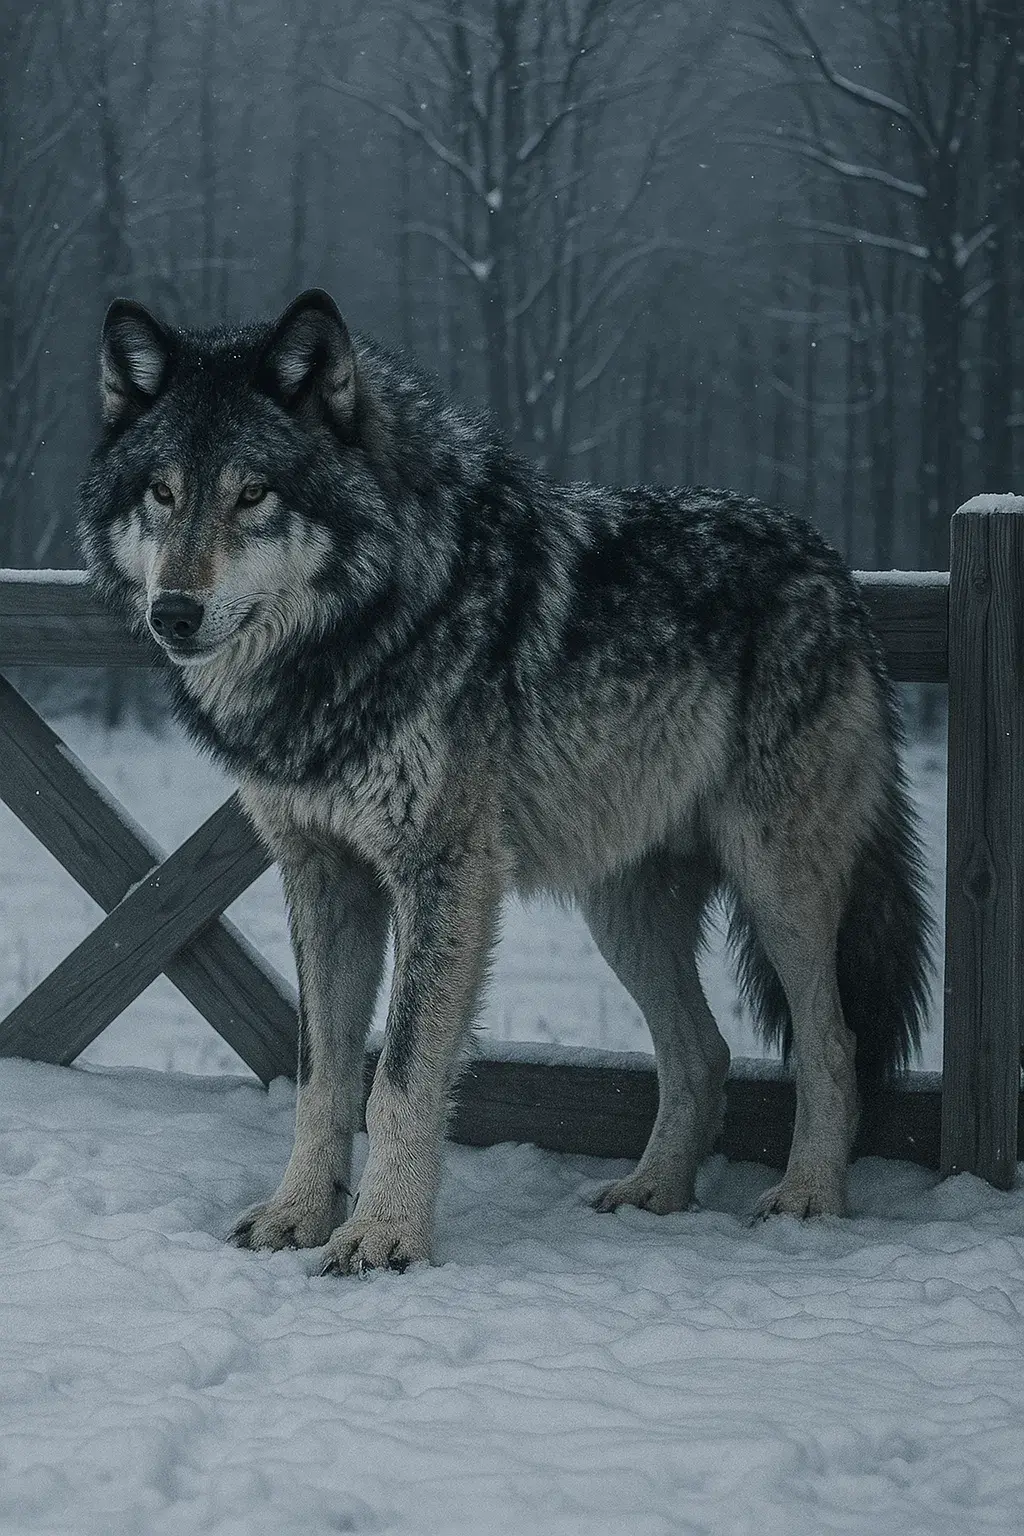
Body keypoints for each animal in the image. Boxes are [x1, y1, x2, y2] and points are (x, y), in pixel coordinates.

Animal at [78, 288, 931, 1274]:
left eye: (253, 493)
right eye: (163, 493)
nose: (172, 613)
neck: (363, 632)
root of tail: (834, 565)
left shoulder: (445, 872)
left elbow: (400, 1076)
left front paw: (384, 1236)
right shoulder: (322, 875)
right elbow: (322, 1075)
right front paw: (299, 1214)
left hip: (777, 887)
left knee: (834, 1044)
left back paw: (808, 1200)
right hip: (623, 914)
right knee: (703, 1053)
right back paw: (652, 1192)